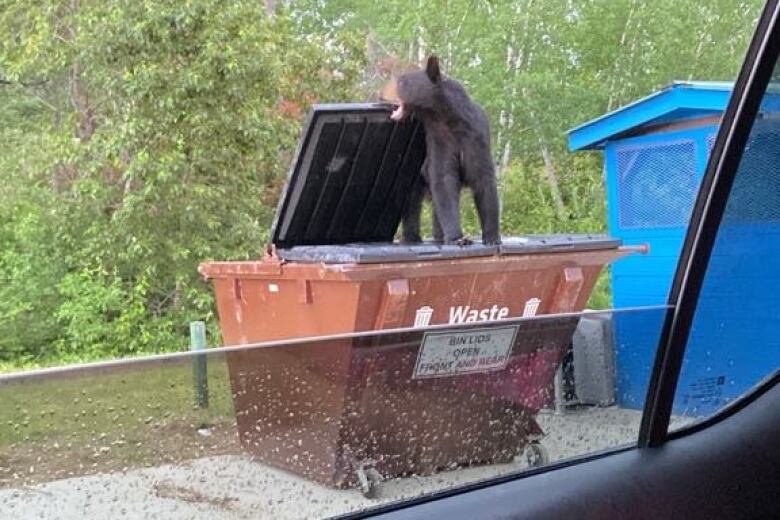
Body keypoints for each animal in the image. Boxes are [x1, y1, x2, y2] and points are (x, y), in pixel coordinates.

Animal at [382, 54, 500, 246]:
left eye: (401, 81)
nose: (381, 93)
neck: (446, 119)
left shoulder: (475, 139)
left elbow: (483, 179)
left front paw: (492, 237)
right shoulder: (439, 142)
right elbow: (444, 181)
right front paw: (457, 237)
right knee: (412, 203)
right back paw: (412, 237)